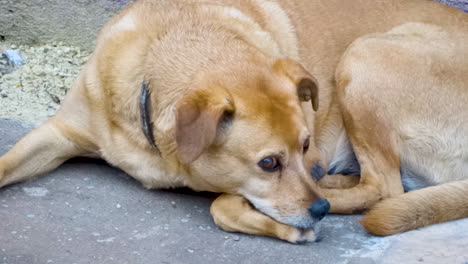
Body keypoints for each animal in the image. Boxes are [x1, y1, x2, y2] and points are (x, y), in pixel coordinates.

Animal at [0, 0, 466, 243]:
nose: (318, 206)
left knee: (384, 189)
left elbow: (223, 207)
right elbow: (7, 163)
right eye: (269, 162)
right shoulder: (58, 133)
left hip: (364, 55)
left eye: (305, 143)